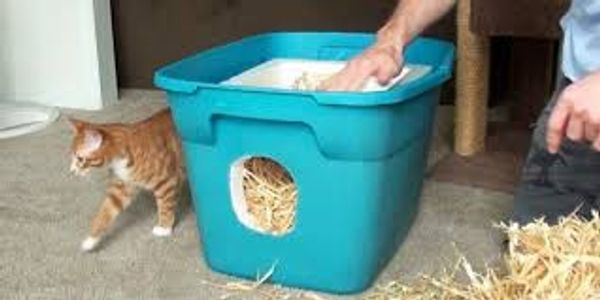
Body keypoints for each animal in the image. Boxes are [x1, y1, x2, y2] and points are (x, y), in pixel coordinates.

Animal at [67, 109, 183, 252]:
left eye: (80, 159)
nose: (71, 171)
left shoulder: (166, 181)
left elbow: (165, 205)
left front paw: (164, 227)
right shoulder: (121, 188)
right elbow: (105, 213)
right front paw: (91, 239)